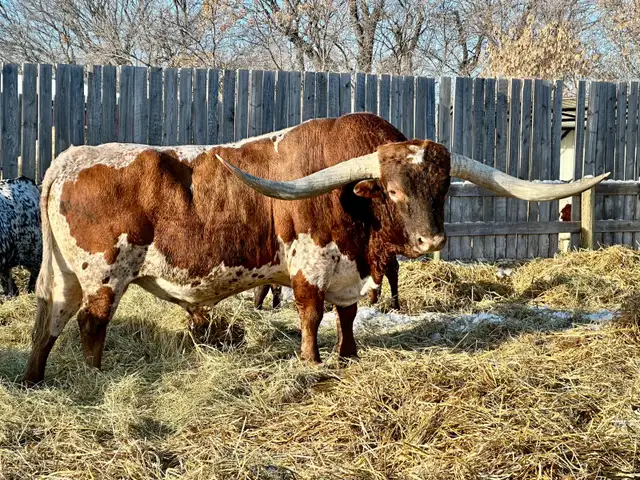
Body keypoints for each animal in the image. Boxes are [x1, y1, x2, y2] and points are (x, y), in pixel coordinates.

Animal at [23, 112, 608, 384]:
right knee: (91, 323)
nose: (431, 240)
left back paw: (34, 380)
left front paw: (349, 355)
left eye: (441, 188)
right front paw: (311, 360)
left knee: (48, 319)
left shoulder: (351, 273)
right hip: (104, 274)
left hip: (66, 274)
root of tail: (69, 158)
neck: (358, 216)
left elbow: (346, 316)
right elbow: (311, 314)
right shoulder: (310, 267)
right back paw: (97, 375)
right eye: (394, 190)